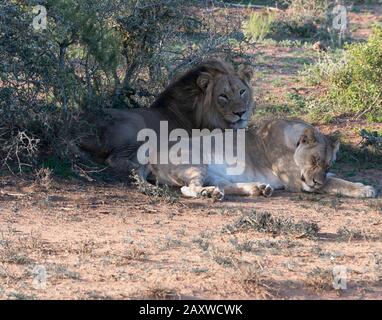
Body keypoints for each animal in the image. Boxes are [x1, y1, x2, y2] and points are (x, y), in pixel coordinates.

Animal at [140, 119, 376, 199]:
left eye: (328, 164)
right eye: (314, 160)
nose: (317, 181)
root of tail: (151, 156)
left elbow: (337, 178)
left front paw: (360, 184)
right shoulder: (297, 182)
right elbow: (334, 183)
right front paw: (366, 189)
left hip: (214, 173)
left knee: (225, 185)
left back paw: (258, 188)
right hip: (195, 162)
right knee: (187, 189)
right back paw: (210, 194)